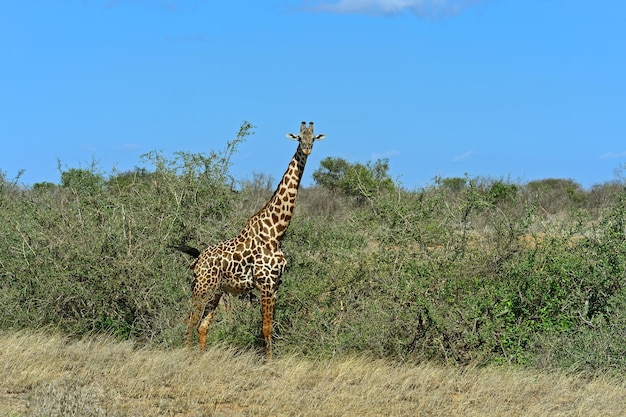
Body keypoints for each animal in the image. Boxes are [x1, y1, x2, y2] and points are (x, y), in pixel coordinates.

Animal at [173, 120, 324, 358]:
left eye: (314, 138)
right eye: (300, 137)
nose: (307, 148)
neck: (276, 232)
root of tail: (197, 260)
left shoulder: (276, 285)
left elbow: (270, 327)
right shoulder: (265, 284)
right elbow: (266, 328)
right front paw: (269, 363)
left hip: (216, 291)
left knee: (202, 326)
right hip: (202, 288)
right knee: (190, 321)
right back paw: (188, 357)